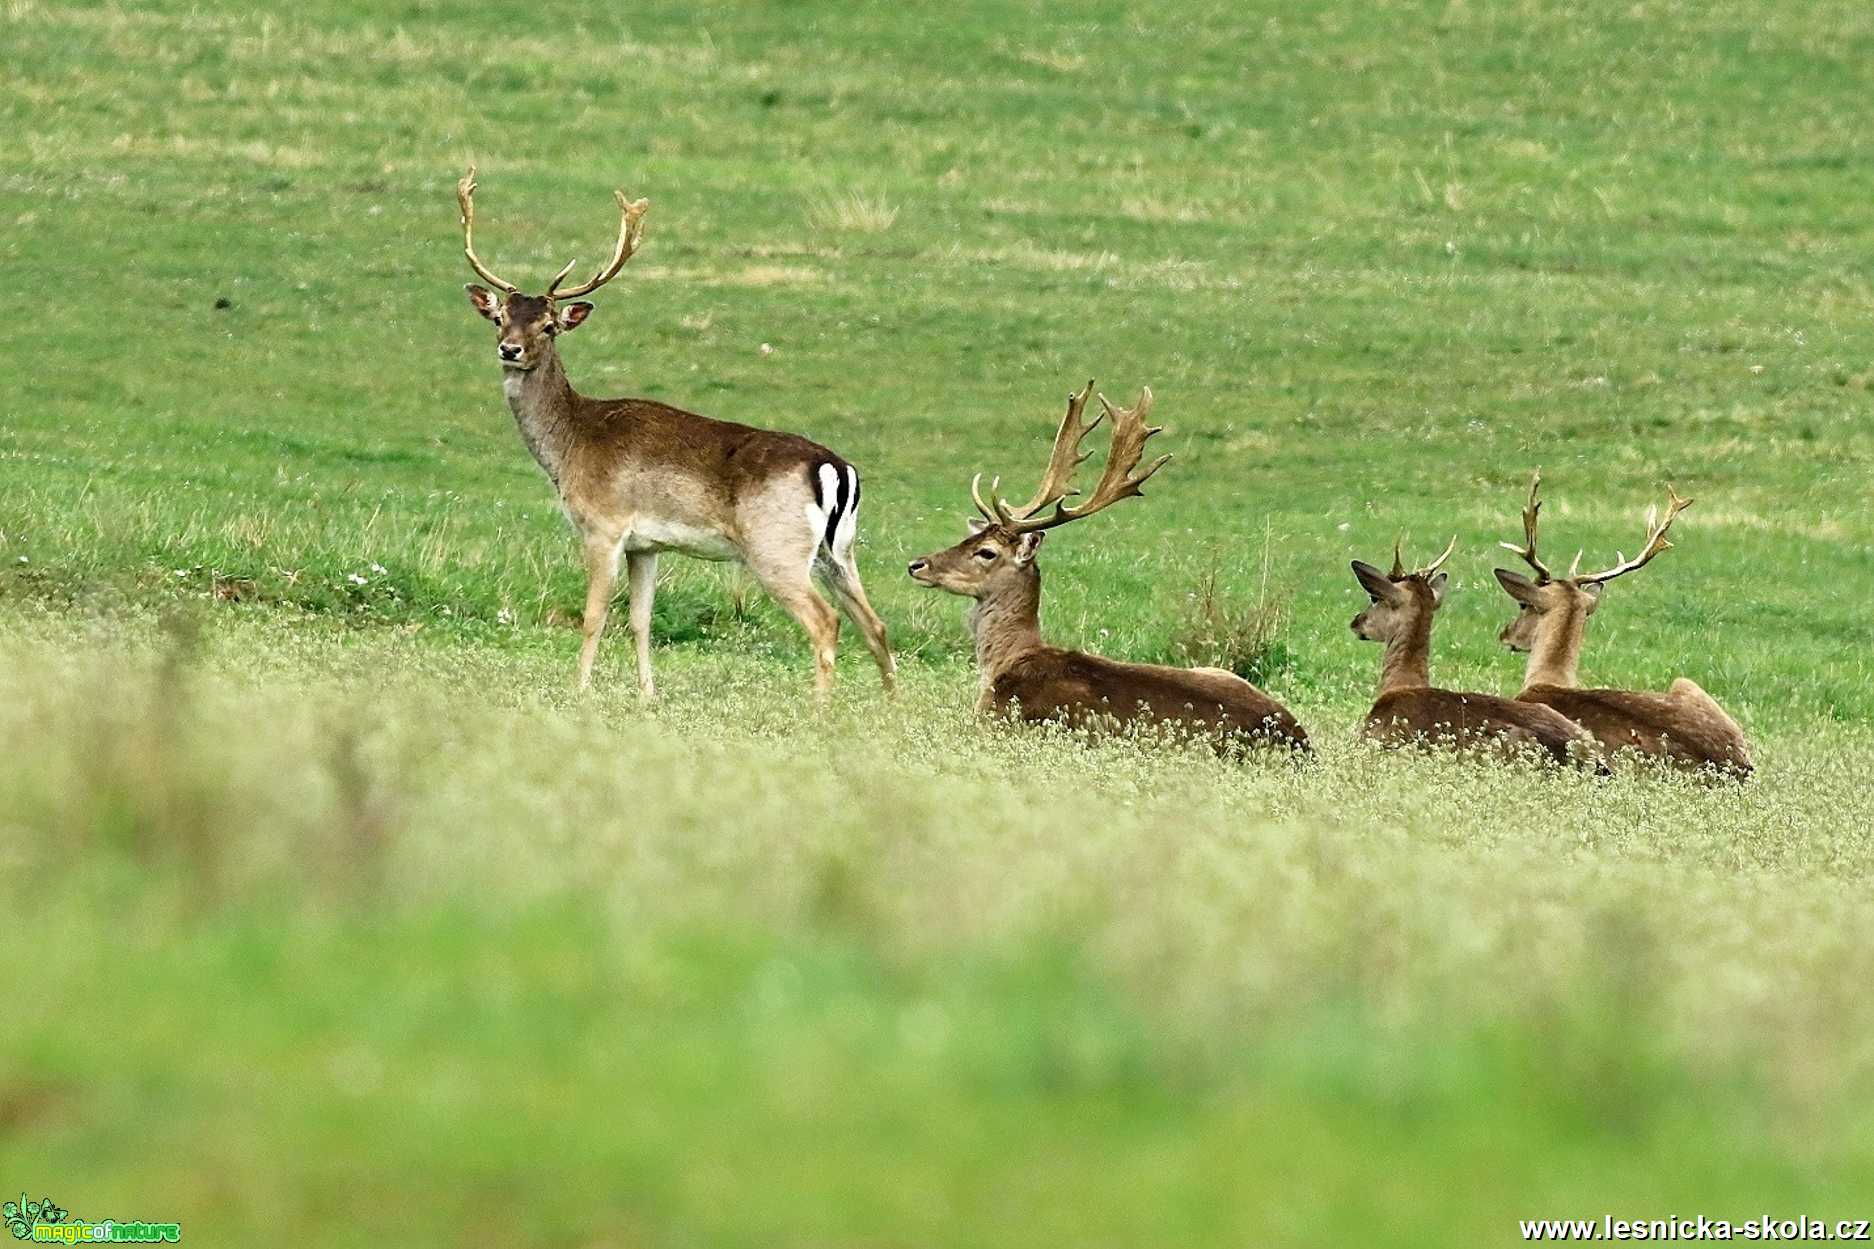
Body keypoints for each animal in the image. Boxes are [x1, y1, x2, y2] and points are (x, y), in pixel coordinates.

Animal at [453, 166, 892, 693]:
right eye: (500, 318)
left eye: (549, 325)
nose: (510, 349)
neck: (571, 445)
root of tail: (836, 470)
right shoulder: (647, 545)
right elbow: (640, 619)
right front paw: (648, 694)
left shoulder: (603, 525)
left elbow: (594, 617)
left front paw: (579, 690)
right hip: (838, 551)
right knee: (875, 624)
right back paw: (890, 705)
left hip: (775, 547)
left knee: (826, 621)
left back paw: (819, 707)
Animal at [903, 378, 1311, 750]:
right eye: (968, 538)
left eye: (986, 551)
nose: (917, 564)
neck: (1006, 662)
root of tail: (1299, 741)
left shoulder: (993, 717)